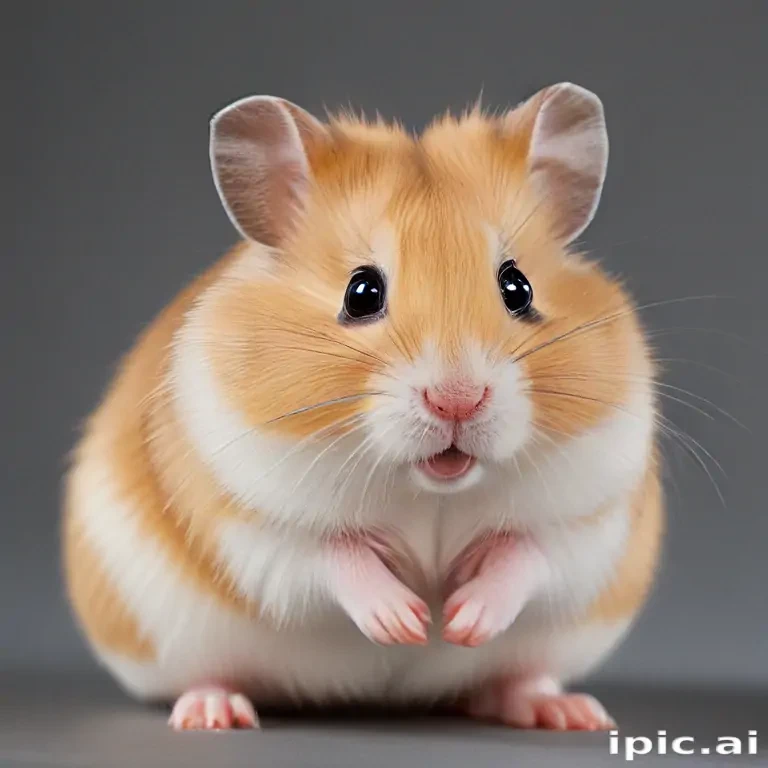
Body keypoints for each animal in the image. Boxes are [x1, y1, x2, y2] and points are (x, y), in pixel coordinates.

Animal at [62, 82, 663, 732]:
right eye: (362, 292)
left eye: (518, 287)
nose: (457, 400)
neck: (430, 488)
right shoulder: (250, 522)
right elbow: (332, 557)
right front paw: (404, 623)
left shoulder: (591, 519)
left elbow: (527, 555)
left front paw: (459, 620)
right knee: (209, 674)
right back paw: (213, 714)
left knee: (515, 677)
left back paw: (568, 711)